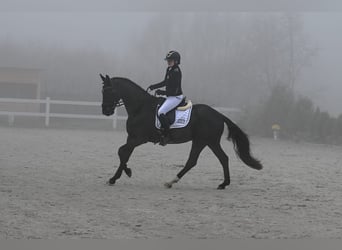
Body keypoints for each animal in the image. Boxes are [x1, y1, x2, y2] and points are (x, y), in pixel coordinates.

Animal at [100, 74, 264, 189]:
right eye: (103, 91)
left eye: (109, 91)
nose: (106, 111)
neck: (140, 107)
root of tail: (218, 114)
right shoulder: (132, 138)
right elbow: (124, 153)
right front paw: (119, 175)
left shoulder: (139, 138)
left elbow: (121, 151)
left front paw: (121, 174)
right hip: (208, 142)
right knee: (221, 158)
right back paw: (223, 184)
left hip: (203, 140)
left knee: (194, 160)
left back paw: (171, 181)